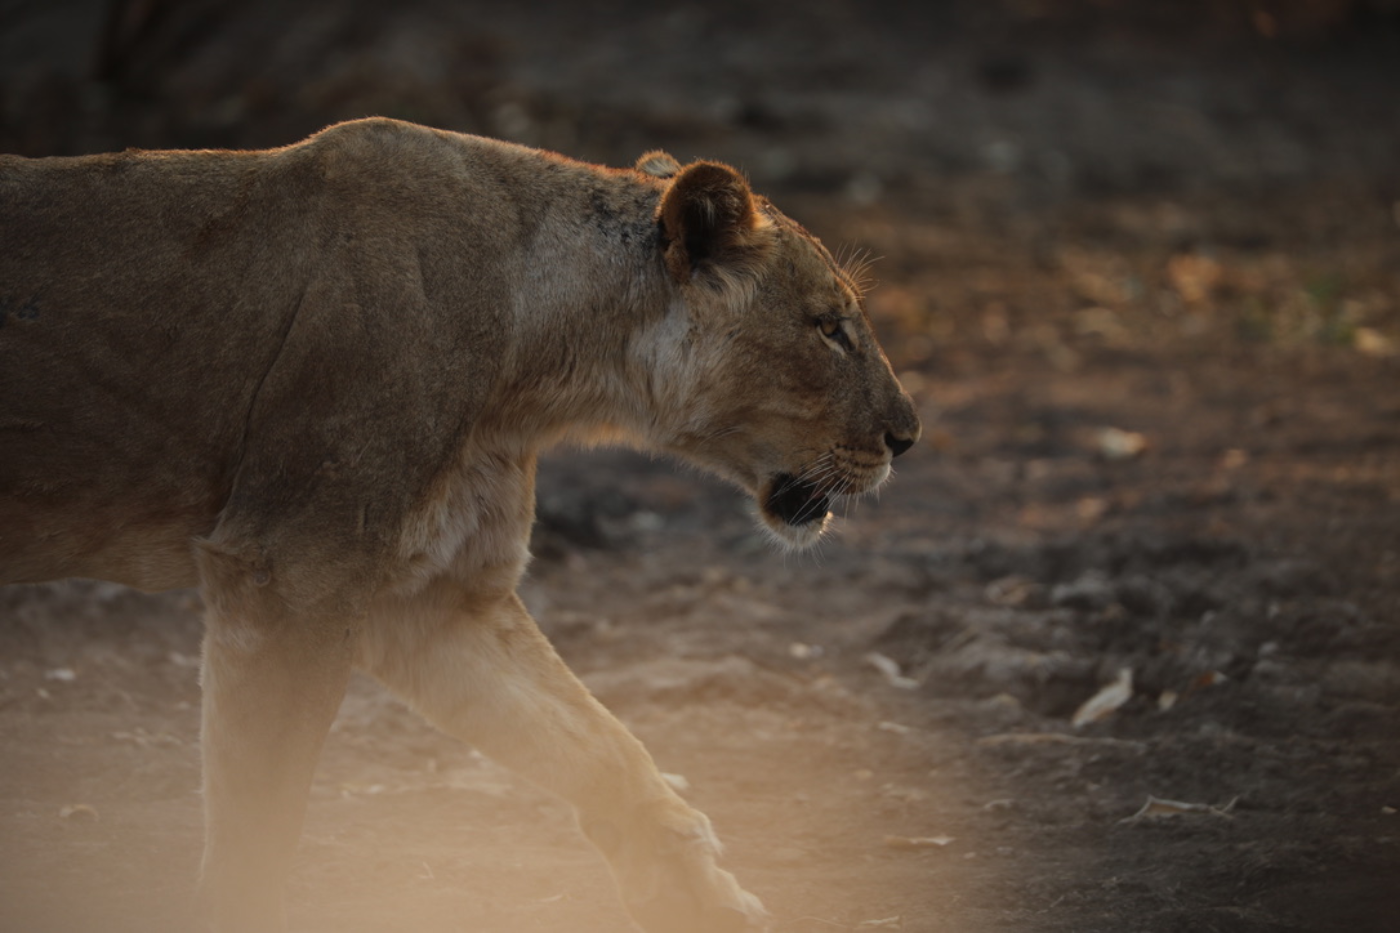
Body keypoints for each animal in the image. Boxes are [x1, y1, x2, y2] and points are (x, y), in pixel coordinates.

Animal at [0, 117, 920, 933]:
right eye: (829, 327)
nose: (907, 435)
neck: (538, 367)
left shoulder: (431, 598)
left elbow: (600, 745)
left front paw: (701, 899)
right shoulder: (286, 570)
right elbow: (256, 824)